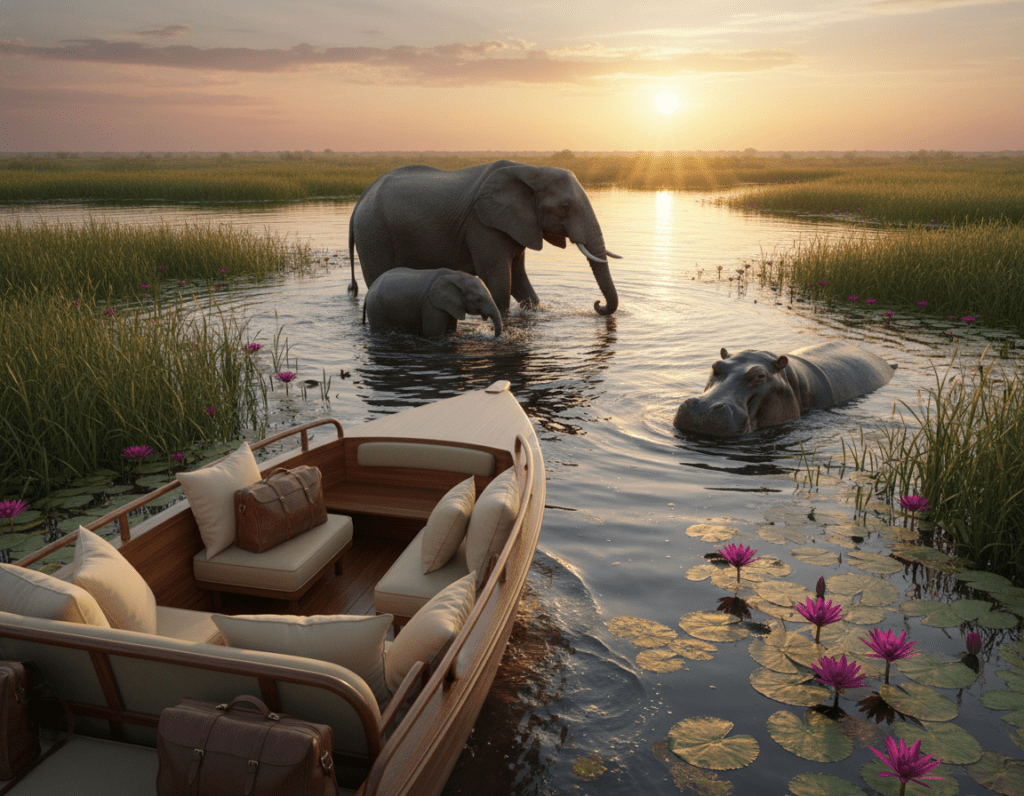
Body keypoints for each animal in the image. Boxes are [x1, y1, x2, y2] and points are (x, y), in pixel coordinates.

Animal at [347, 160, 621, 316]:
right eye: (564, 208)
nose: (597, 305)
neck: (531, 170)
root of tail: (360, 200)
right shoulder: (482, 226)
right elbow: (499, 282)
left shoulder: (515, 224)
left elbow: (520, 281)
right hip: (374, 235)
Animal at [363, 267, 502, 338]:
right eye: (479, 300)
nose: (493, 336)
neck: (456, 276)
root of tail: (368, 292)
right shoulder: (431, 305)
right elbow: (433, 333)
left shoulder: (450, 304)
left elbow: (450, 330)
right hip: (376, 309)